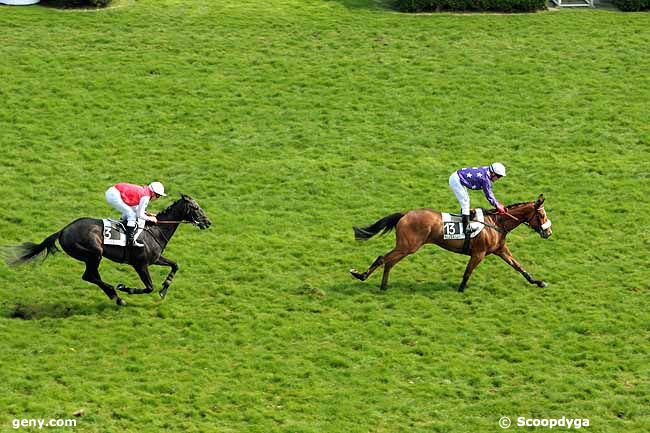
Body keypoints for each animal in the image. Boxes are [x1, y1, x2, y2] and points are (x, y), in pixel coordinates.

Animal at [6, 194, 210, 306]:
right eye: (196, 207)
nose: (208, 222)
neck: (154, 230)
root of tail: (63, 230)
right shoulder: (140, 264)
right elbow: (148, 287)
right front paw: (126, 288)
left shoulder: (156, 258)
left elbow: (175, 265)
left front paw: (164, 289)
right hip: (94, 253)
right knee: (89, 276)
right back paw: (116, 295)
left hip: (91, 257)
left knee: (91, 276)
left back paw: (114, 295)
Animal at [350, 194, 552, 292]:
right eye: (542, 215)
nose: (548, 232)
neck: (497, 223)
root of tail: (405, 214)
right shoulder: (478, 254)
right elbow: (468, 272)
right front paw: (461, 289)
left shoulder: (500, 250)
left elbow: (518, 266)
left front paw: (538, 282)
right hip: (408, 246)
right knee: (383, 258)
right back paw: (360, 275)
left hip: (406, 247)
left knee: (389, 262)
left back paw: (383, 286)